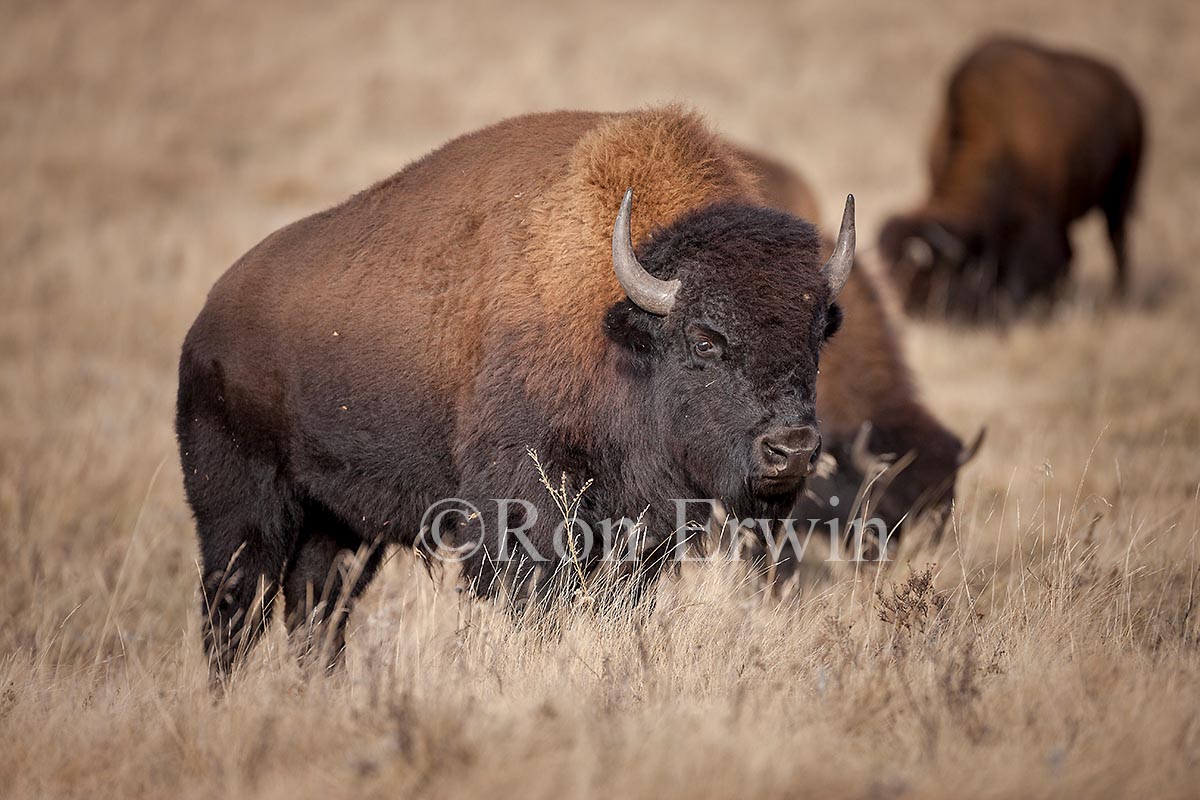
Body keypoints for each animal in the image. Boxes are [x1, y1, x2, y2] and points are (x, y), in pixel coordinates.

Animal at [175, 107, 854, 676]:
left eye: (818, 332)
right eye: (705, 340)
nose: (791, 448)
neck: (621, 327)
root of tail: (208, 319)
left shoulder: (644, 531)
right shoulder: (522, 512)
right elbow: (533, 602)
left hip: (337, 523)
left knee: (315, 608)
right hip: (242, 509)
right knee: (234, 611)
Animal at [883, 36, 1142, 319]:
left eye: (925, 274)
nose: (905, 308)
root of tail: (1128, 93)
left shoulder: (1037, 222)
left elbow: (1030, 267)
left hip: (1118, 196)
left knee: (1116, 242)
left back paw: (1118, 298)